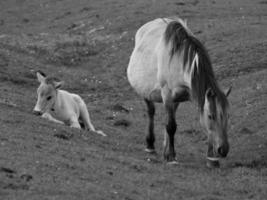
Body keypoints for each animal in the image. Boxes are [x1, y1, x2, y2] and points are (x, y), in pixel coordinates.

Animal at [127, 17, 232, 167]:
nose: (223, 149)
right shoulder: (167, 95)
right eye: (211, 116)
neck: (178, 62)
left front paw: (212, 159)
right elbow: (171, 126)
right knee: (151, 112)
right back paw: (150, 146)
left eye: (228, 116)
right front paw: (171, 156)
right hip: (146, 92)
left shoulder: (181, 98)